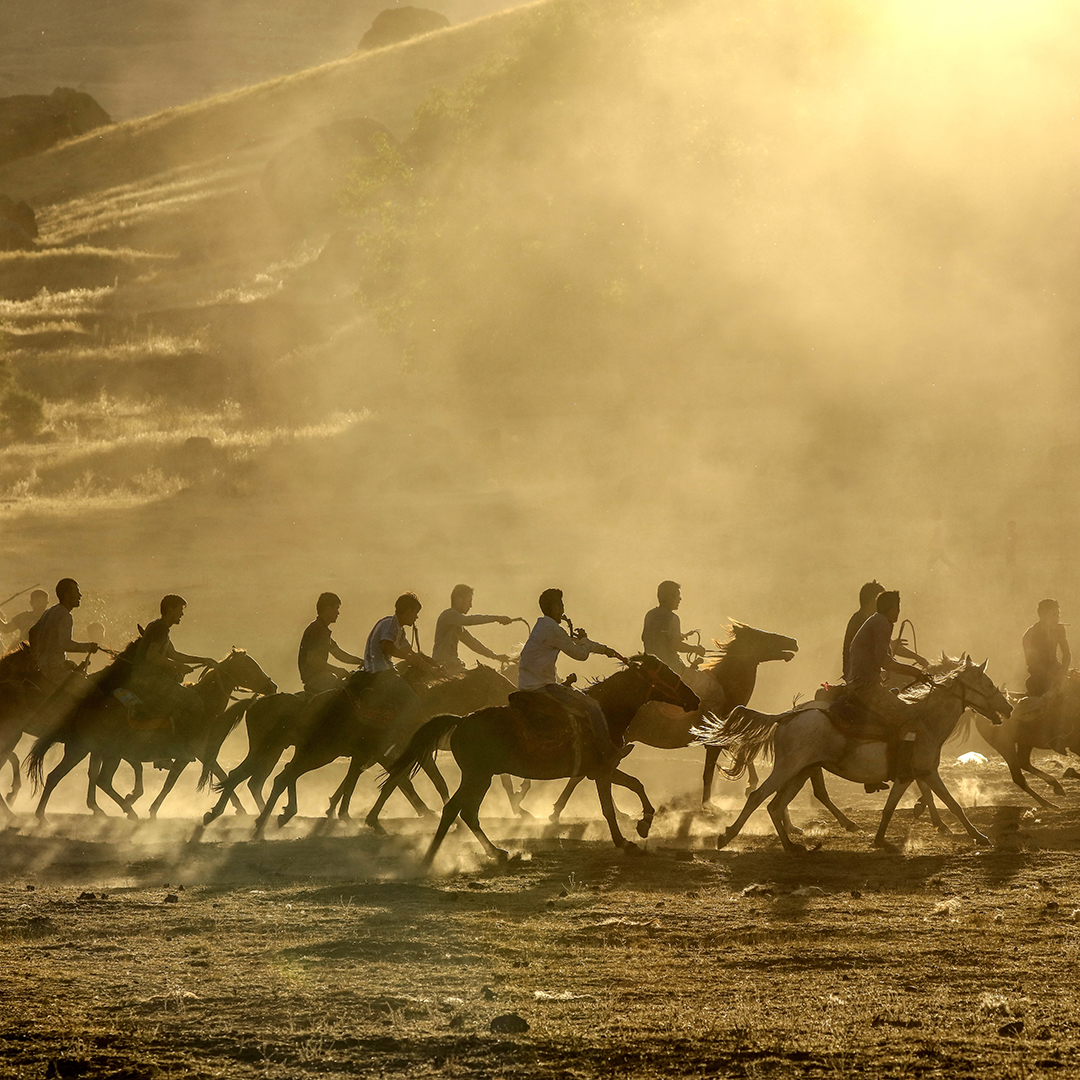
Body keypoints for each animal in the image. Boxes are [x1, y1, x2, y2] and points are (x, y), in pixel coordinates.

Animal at [26, 648, 277, 822]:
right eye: (249, 667)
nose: (272, 686)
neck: (204, 704)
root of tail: (82, 707)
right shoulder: (186, 755)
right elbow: (170, 784)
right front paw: (153, 810)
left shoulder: (202, 753)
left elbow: (221, 774)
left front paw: (238, 808)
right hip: (102, 752)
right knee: (98, 779)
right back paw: (128, 811)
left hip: (85, 750)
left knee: (61, 776)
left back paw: (43, 816)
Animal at [382, 654, 700, 870]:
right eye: (668, 673)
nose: (695, 699)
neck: (606, 711)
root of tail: (461, 721)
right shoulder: (601, 772)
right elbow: (609, 809)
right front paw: (626, 842)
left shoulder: (602, 770)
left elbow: (636, 785)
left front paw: (644, 824)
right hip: (477, 776)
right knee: (455, 810)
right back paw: (433, 857)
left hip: (480, 777)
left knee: (466, 813)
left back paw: (495, 852)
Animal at [544, 623, 798, 822]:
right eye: (763, 636)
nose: (793, 642)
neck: (725, 684)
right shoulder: (714, 739)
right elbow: (711, 771)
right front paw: (711, 805)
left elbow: (740, 752)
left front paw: (747, 784)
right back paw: (560, 811)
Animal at [695, 657, 1010, 852]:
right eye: (988, 684)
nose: (1007, 707)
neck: (926, 719)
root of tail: (787, 716)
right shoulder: (925, 771)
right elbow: (951, 804)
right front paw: (980, 836)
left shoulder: (913, 775)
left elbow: (896, 807)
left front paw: (880, 839)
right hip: (787, 768)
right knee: (758, 797)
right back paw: (728, 836)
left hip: (800, 772)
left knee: (775, 805)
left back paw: (792, 845)